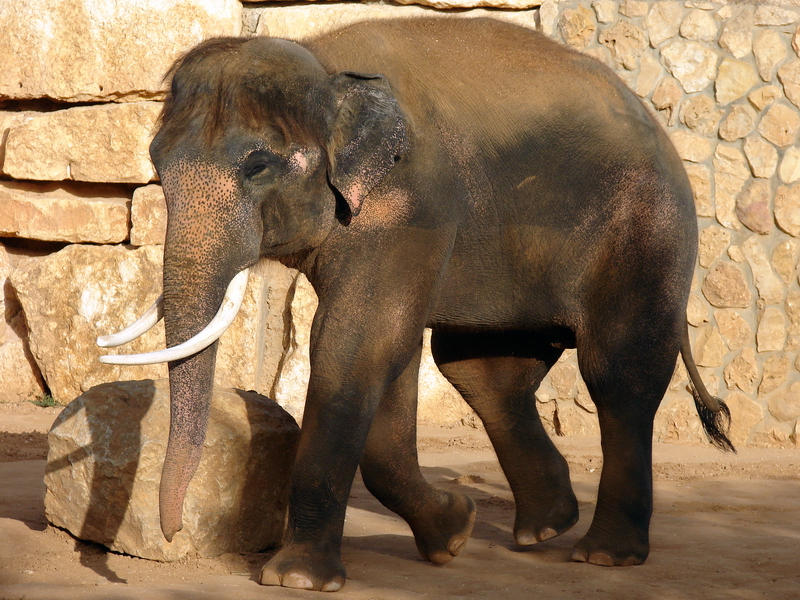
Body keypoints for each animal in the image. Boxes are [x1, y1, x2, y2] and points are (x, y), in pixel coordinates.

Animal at [98, 17, 733, 592]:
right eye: (156, 165)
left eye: (258, 166)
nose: (174, 534)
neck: (326, 66)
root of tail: (656, 125)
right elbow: (388, 350)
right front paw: (454, 532)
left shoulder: (409, 206)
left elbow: (354, 342)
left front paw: (296, 578)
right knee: (481, 372)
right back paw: (544, 528)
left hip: (646, 231)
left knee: (618, 374)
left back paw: (605, 555)